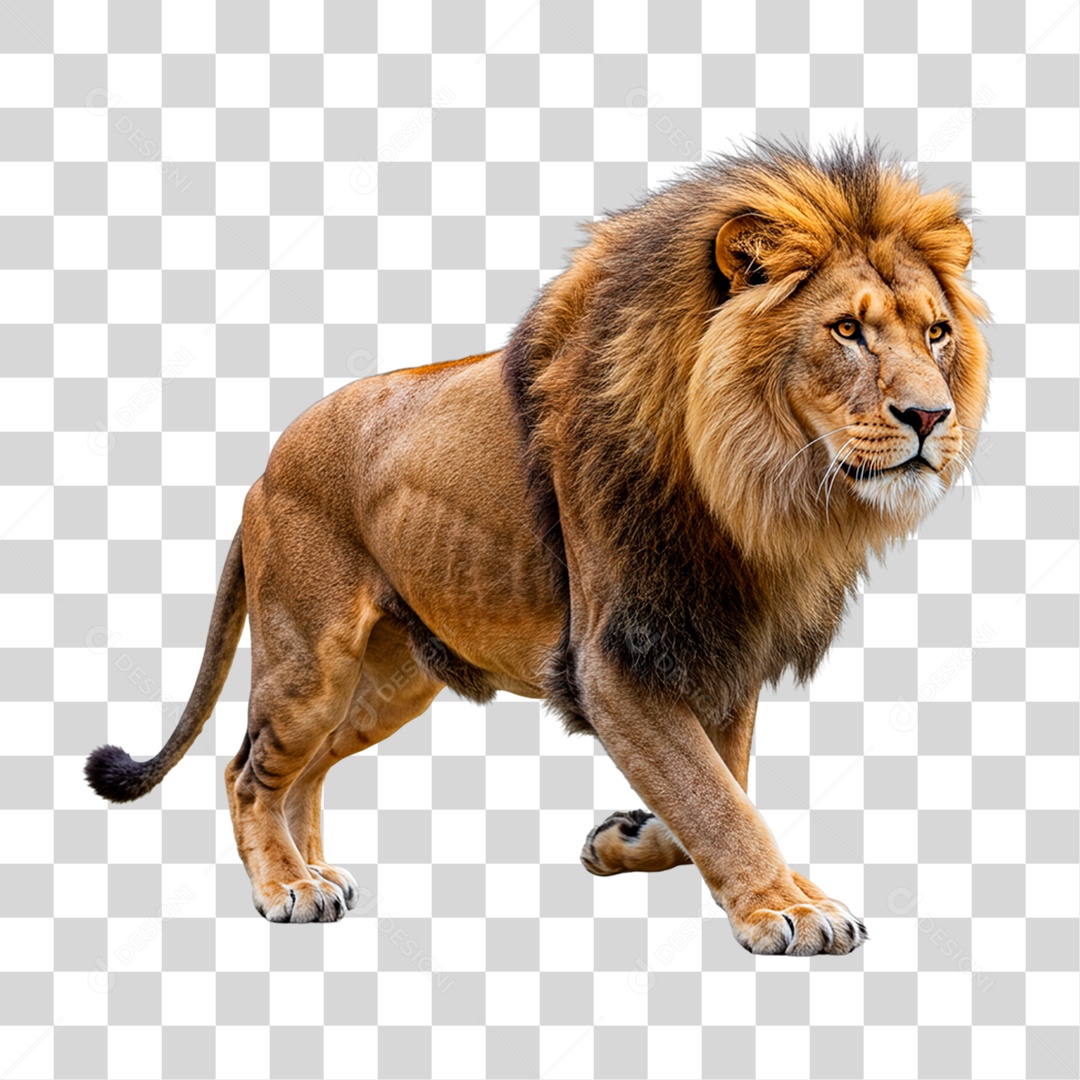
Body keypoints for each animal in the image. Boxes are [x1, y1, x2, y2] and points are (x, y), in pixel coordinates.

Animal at [86, 135, 991, 956]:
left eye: (937, 333)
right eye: (847, 331)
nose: (931, 417)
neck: (756, 490)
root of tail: (263, 470)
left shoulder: (719, 642)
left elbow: (719, 785)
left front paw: (630, 838)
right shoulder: (614, 659)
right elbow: (715, 798)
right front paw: (789, 908)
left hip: (388, 681)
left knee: (303, 769)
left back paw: (315, 871)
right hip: (310, 661)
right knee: (247, 770)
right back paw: (285, 887)